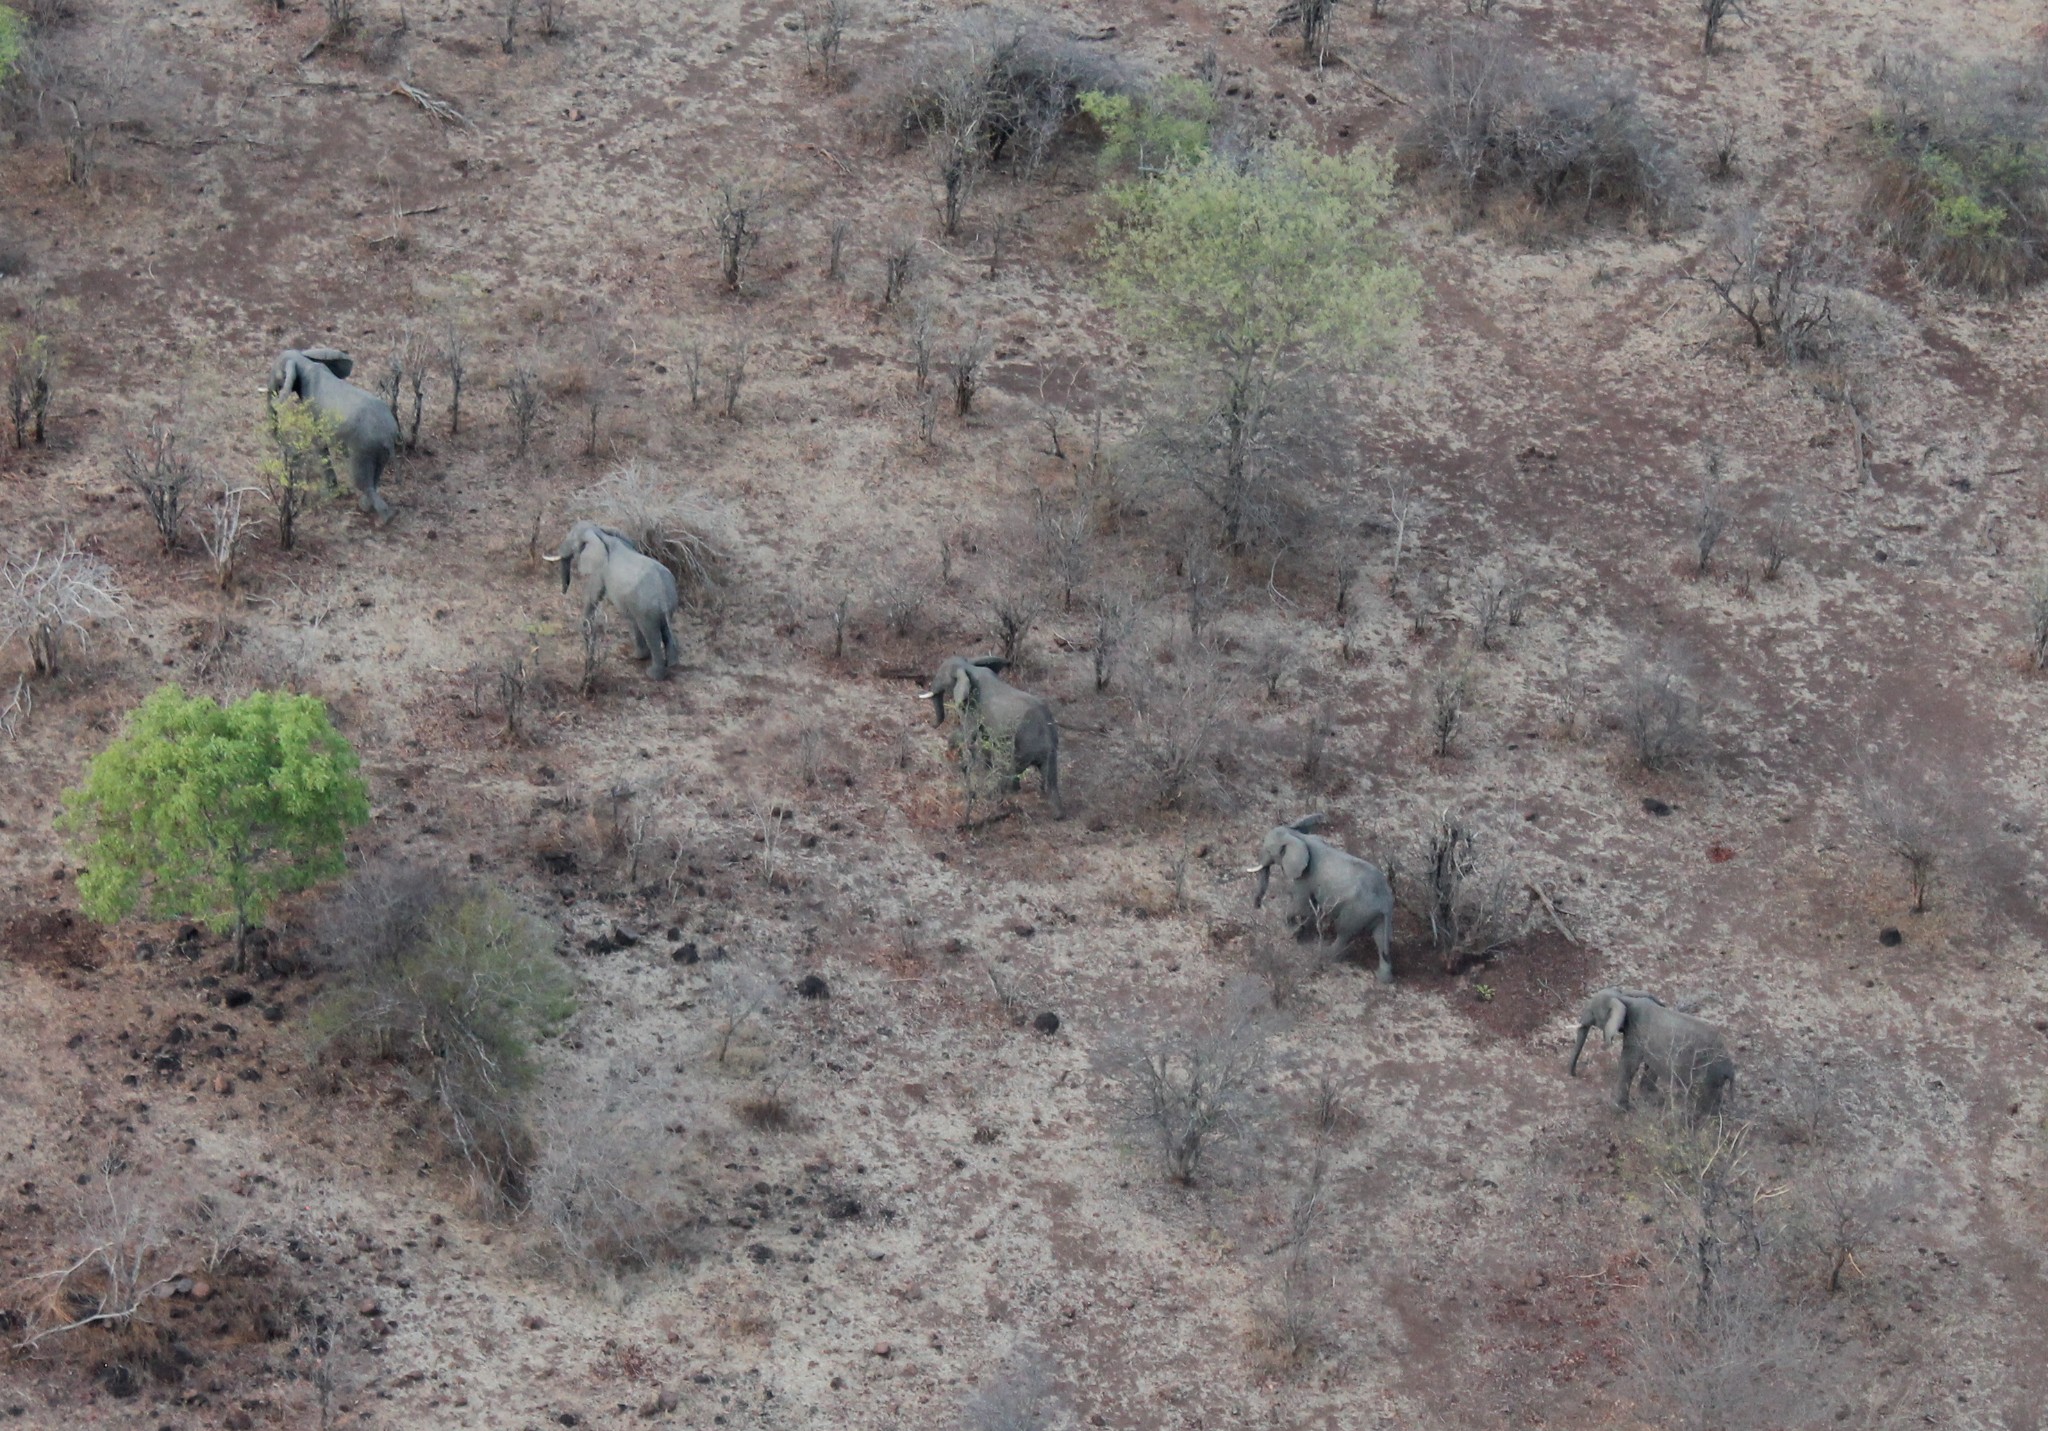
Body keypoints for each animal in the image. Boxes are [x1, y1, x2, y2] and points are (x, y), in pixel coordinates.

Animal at [266, 350, 397, 528]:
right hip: (378, 449)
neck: (304, 361)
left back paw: (384, 520)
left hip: (363, 446)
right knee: (374, 478)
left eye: (279, 375)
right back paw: (368, 508)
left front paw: (329, 493)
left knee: (361, 480)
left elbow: (318, 444)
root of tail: (388, 435)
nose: (285, 448)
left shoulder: (314, 412)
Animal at [544, 519, 679, 683]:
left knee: (650, 632)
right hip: (659, 607)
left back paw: (652, 674)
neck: (601, 533)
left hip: (647, 610)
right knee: (659, 628)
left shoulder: (599, 569)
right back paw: (666, 663)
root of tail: (664, 594)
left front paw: (585, 628)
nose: (563, 592)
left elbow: (593, 595)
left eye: (572, 541)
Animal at [917, 659, 1064, 818]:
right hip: (1048, 750)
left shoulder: (972, 704)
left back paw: (994, 797)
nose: (930, 724)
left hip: (1024, 745)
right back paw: (1056, 814)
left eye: (942, 677)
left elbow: (969, 733)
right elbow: (983, 738)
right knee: (1049, 778)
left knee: (1011, 769)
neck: (968, 667)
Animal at [1245, 818, 1392, 986]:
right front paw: (1301, 935)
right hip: (1376, 915)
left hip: (1358, 910)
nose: (1257, 906)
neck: (1296, 836)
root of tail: (1386, 902)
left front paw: (1291, 933)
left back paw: (1326, 955)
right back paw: (1382, 979)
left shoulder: (1305, 876)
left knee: (1344, 931)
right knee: (1381, 940)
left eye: (1268, 850)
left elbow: (1300, 905)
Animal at [1572, 986, 1736, 1121]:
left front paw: (1618, 1109)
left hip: (1709, 1074)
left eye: (1592, 1012)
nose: (1575, 1074)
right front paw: (1651, 1098)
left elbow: (1628, 1064)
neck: (1624, 998)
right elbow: (1649, 1064)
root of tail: (1730, 1066)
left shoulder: (1636, 1034)